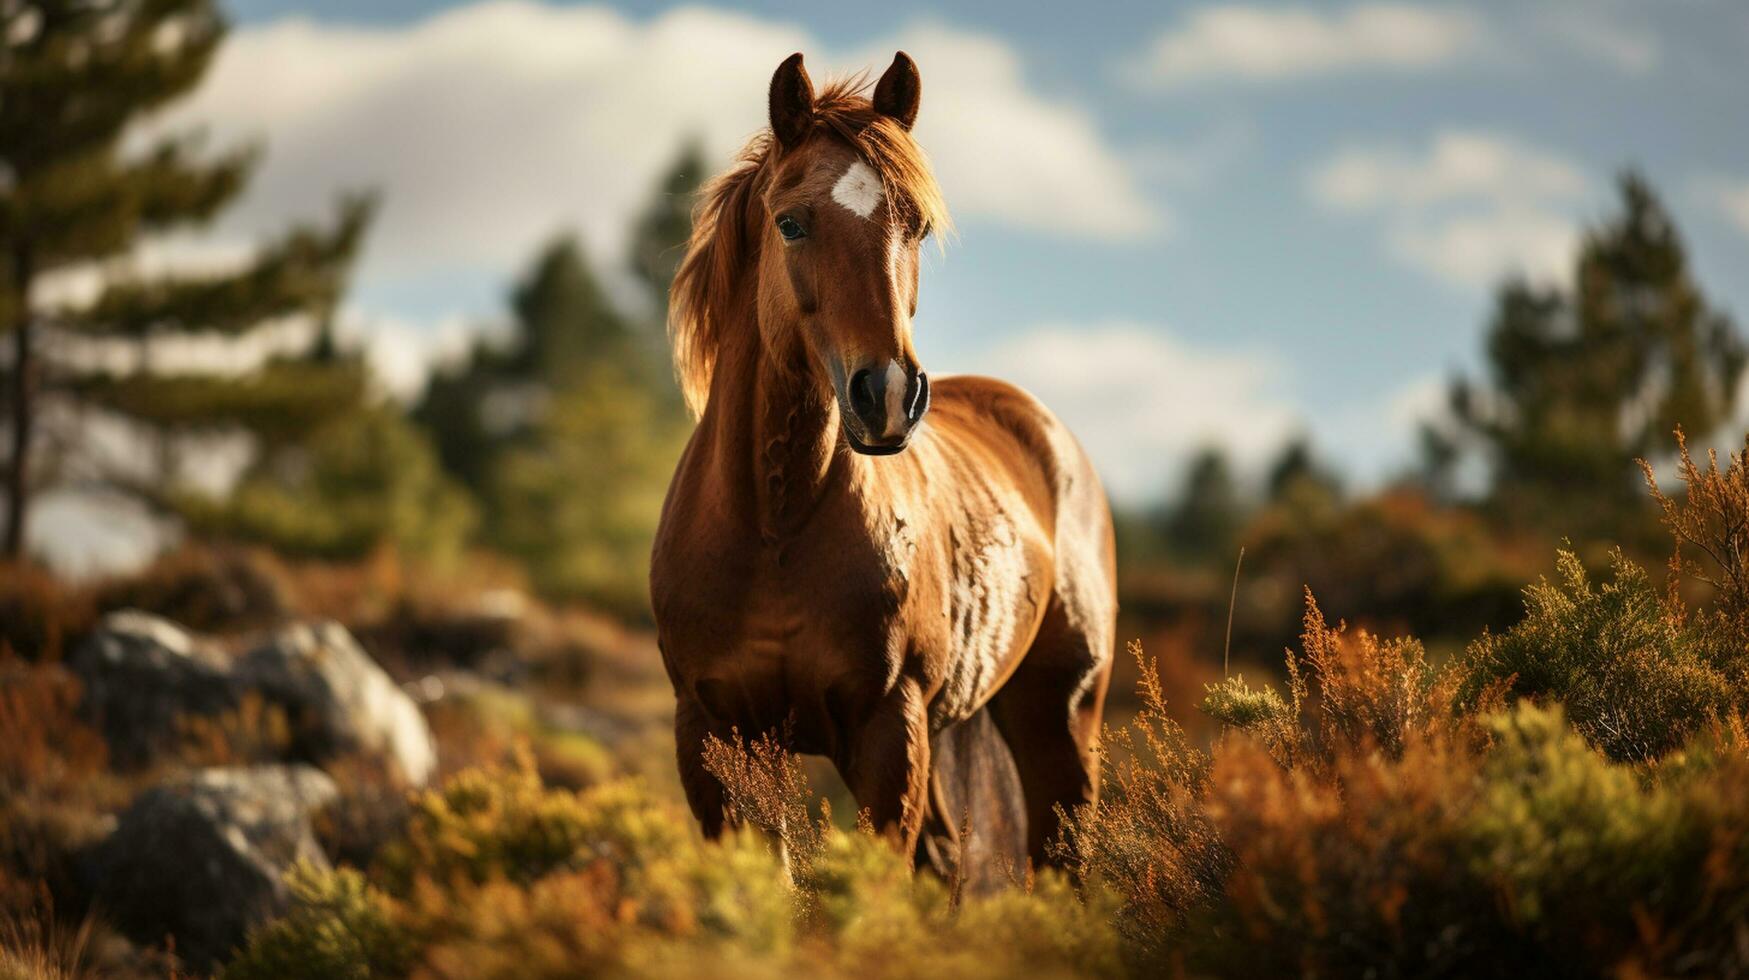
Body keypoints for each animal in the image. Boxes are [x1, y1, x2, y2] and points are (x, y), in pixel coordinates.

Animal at [650, 49, 1112, 868]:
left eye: (917, 226)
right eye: (791, 222)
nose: (889, 395)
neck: (773, 528)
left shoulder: (887, 731)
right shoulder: (713, 736)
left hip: (1058, 718)